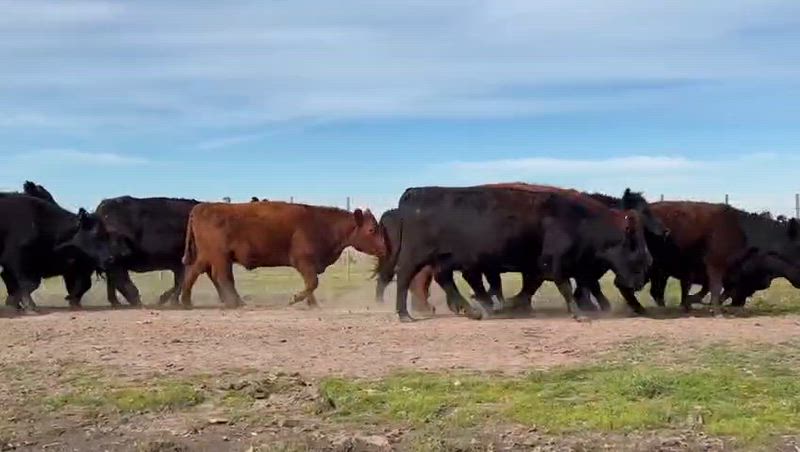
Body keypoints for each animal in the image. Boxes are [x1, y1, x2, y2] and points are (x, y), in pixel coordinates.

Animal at [180, 201, 387, 307]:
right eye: (371, 229)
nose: (385, 248)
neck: (322, 224)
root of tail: (202, 207)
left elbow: (310, 284)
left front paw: (312, 304)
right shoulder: (304, 261)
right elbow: (312, 283)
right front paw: (296, 299)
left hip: (208, 256)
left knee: (193, 272)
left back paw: (187, 302)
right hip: (220, 257)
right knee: (222, 277)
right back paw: (236, 302)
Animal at [392, 186, 651, 322]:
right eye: (635, 248)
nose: (641, 281)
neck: (579, 219)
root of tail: (415, 193)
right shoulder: (555, 263)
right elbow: (565, 286)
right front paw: (580, 314)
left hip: (445, 259)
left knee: (445, 280)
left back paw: (474, 311)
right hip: (416, 256)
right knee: (405, 277)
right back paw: (405, 315)